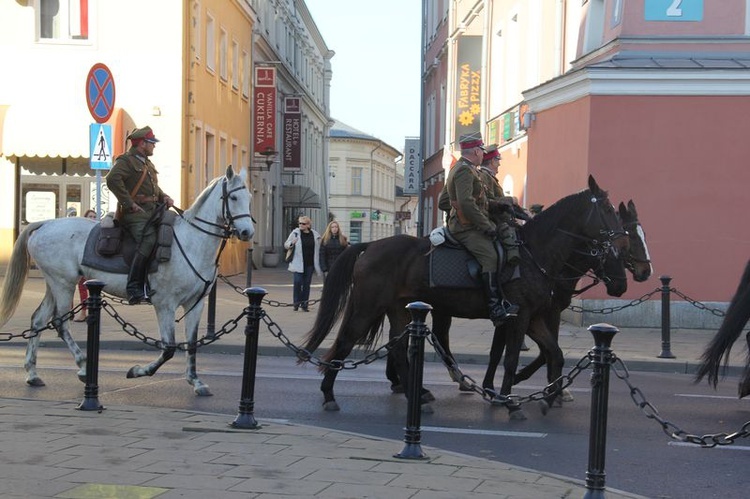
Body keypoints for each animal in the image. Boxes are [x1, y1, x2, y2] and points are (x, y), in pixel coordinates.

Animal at [0, 166, 256, 396]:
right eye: (234, 197)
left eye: (249, 198)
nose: (247, 232)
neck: (191, 241)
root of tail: (44, 223)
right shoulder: (165, 304)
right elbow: (169, 348)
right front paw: (138, 371)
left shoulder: (195, 303)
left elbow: (191, 344)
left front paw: (196, 381)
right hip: (63, 284)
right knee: (60, 324)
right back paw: (83, 366)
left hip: (54, 284)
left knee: (38, 320)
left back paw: (32, 374)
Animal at [302, 176, 628, 418]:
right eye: (607, 209)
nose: (621, 238)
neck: (534, 254)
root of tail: (370, 245)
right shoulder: (519, 316)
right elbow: (510, 358)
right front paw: (510, 401)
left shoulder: (534, 317)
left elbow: (554, 353)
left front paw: (548, 398)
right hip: (369, 307)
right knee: (346, 341)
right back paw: (329, 394)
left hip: (399, 309)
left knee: (397, 348)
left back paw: (416, 394)